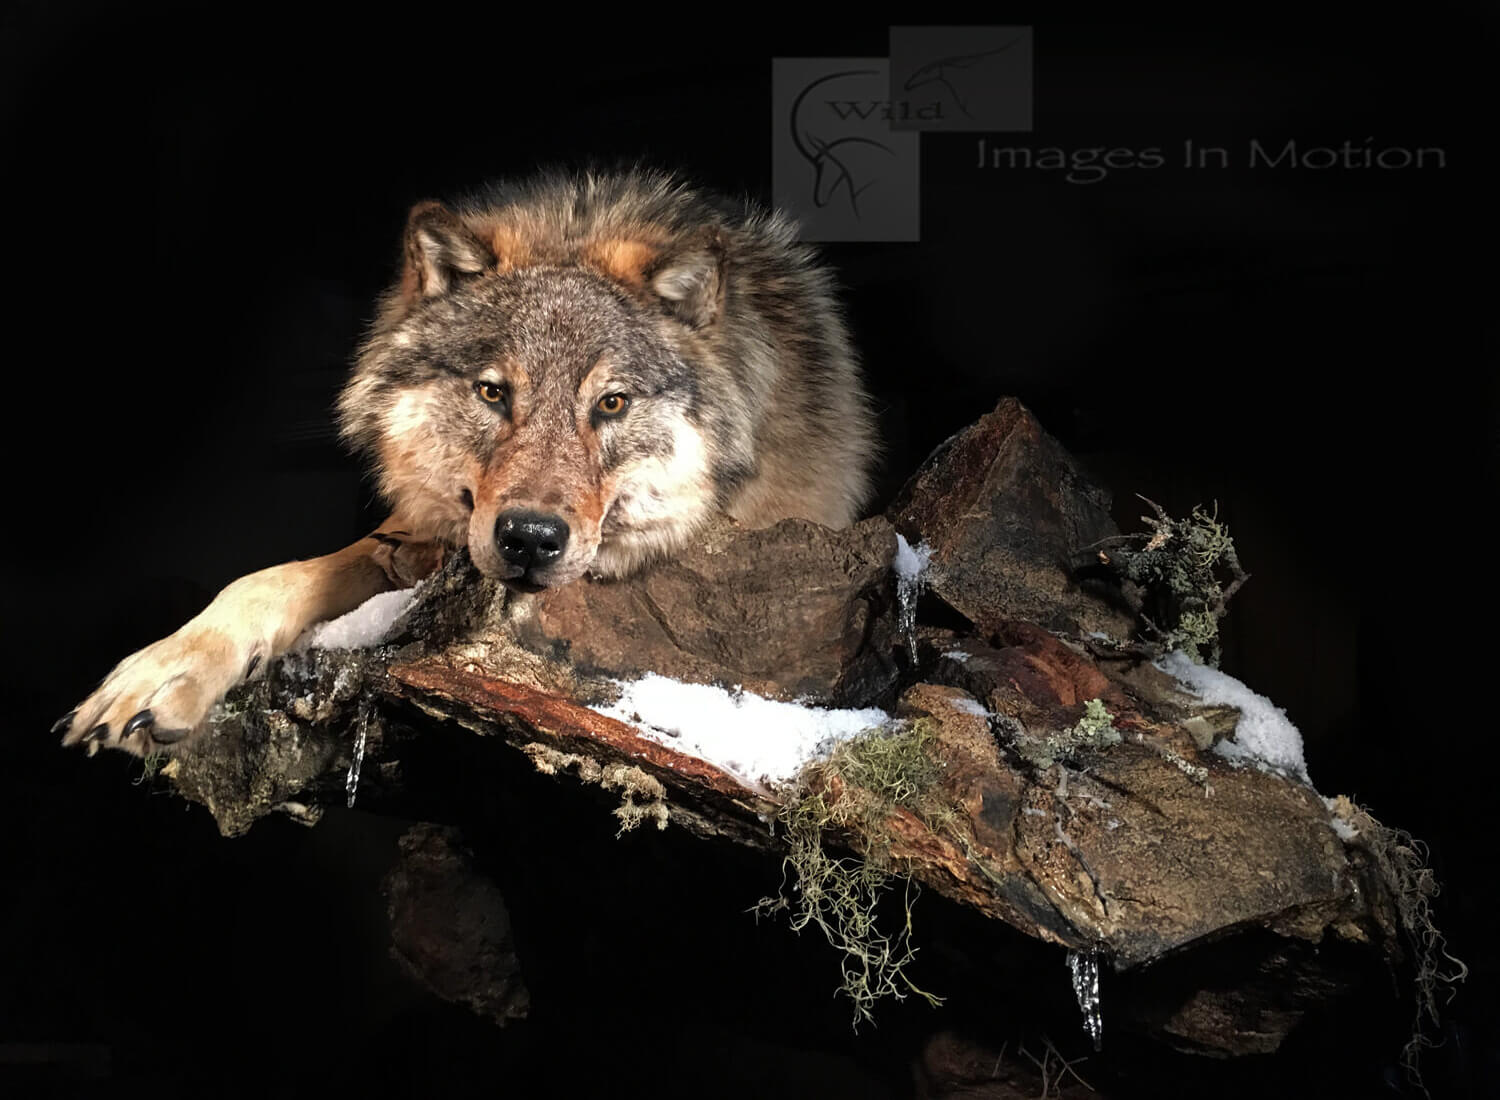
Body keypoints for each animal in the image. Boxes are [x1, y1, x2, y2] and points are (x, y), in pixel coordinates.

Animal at [55, 169, 876, 756]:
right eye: (492, 392)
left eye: (611, 404)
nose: (530, 539)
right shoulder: (420, 537)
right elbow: (268, 580)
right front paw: (166, 668)